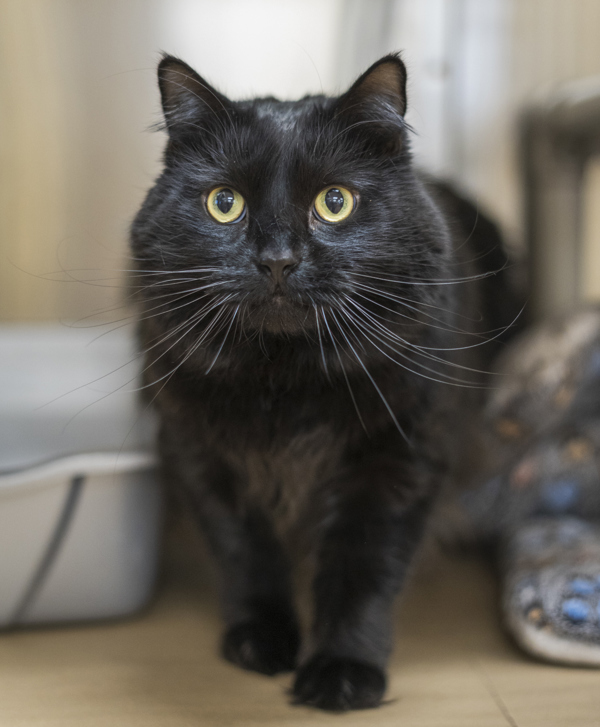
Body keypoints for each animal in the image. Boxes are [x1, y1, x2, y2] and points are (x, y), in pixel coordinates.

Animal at [131, 51, 516, 712]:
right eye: (224, 203)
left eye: (335, 202)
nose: (278, 260)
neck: (285, 386)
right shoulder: (200, 455)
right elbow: (246, 552)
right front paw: (260, 640)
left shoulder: (397, 461)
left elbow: (361, 571)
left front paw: (342, 671)